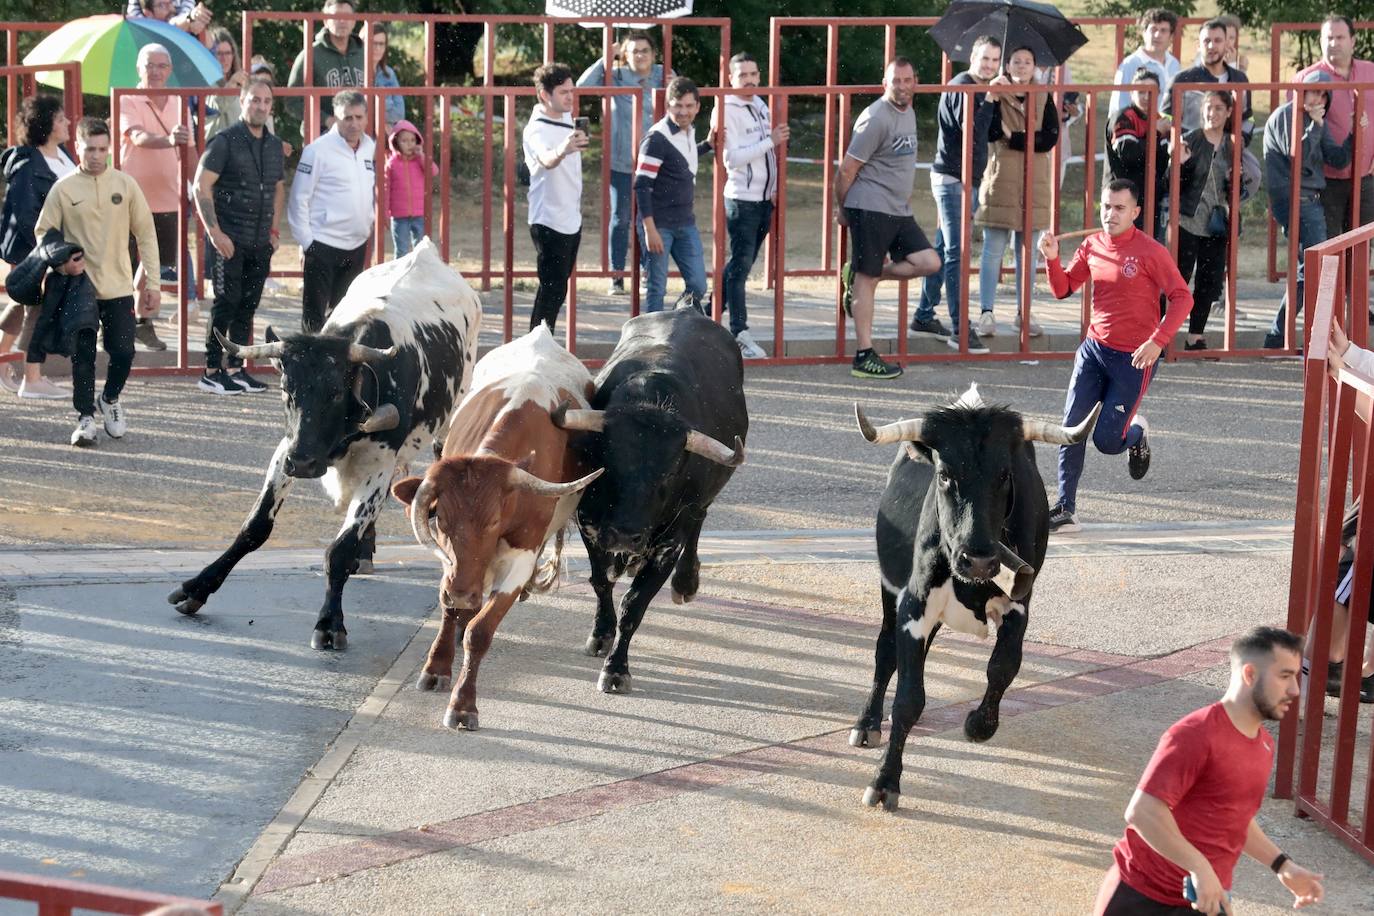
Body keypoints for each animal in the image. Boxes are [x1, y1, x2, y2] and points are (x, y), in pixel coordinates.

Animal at [167, 240, 483, 648]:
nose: (304, 464)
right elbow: (254, 527)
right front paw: (197, 587)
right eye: (287, 389)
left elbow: (338, 550)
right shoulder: (286, 450)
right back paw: (367, 551)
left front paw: (330, 621)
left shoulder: (377, 466)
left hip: (448, 421)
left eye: (335, 392)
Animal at [846, 390, 1104, 813]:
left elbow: (1003, 667)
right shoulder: (912, 606)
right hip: (889, 589)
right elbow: (908, 698)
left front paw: (978, 725)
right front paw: (884, 782)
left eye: (1005, 475)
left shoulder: (1020, 604)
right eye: (945, 474)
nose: (979, 559)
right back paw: (866, 724)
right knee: (884, 652)